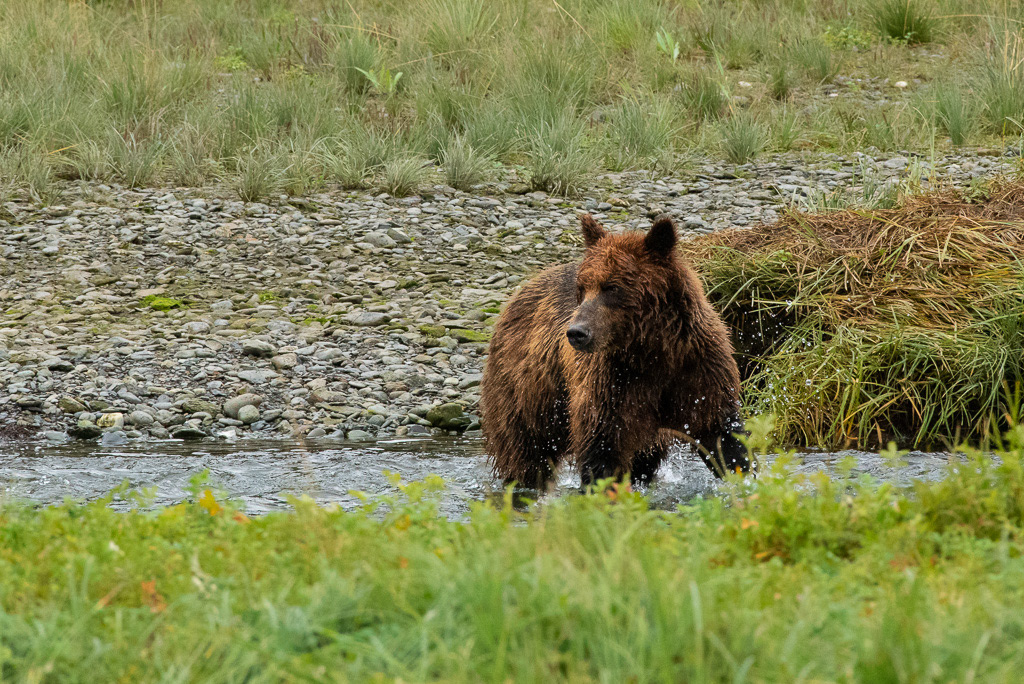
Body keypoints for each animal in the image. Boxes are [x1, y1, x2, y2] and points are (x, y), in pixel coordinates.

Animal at [480, 213, 750, 488]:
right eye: (582, 288)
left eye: (611, 287)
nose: (577, 332)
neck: (651, 350)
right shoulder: (611, 384)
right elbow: (602, 450)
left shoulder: (696, 370)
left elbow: (723, 437)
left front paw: (744, 476)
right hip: (527, 392)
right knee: (526, 454)